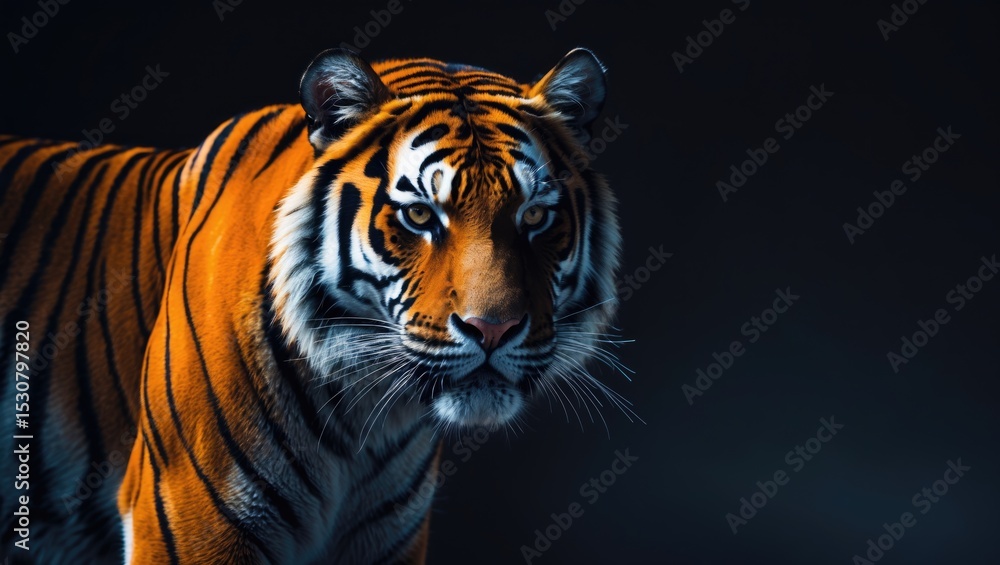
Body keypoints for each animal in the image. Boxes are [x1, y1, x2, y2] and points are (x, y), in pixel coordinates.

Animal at [0, 47, 628, 563]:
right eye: (419, 215)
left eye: (535, 216)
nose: (493, 329)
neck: (365, 415)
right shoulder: (188, 515)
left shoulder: (386, 539)